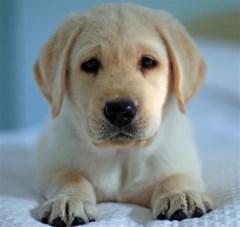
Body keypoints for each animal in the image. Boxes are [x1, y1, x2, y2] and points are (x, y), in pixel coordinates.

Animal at [33, 2, 212, 226]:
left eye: (148, 62)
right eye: (90, 64)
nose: (119, 110)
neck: (121, 156)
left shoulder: (185, 163)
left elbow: (176, 176)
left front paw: (181, 194)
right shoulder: (47, 170)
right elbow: (69, 176)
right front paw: (68, 200)